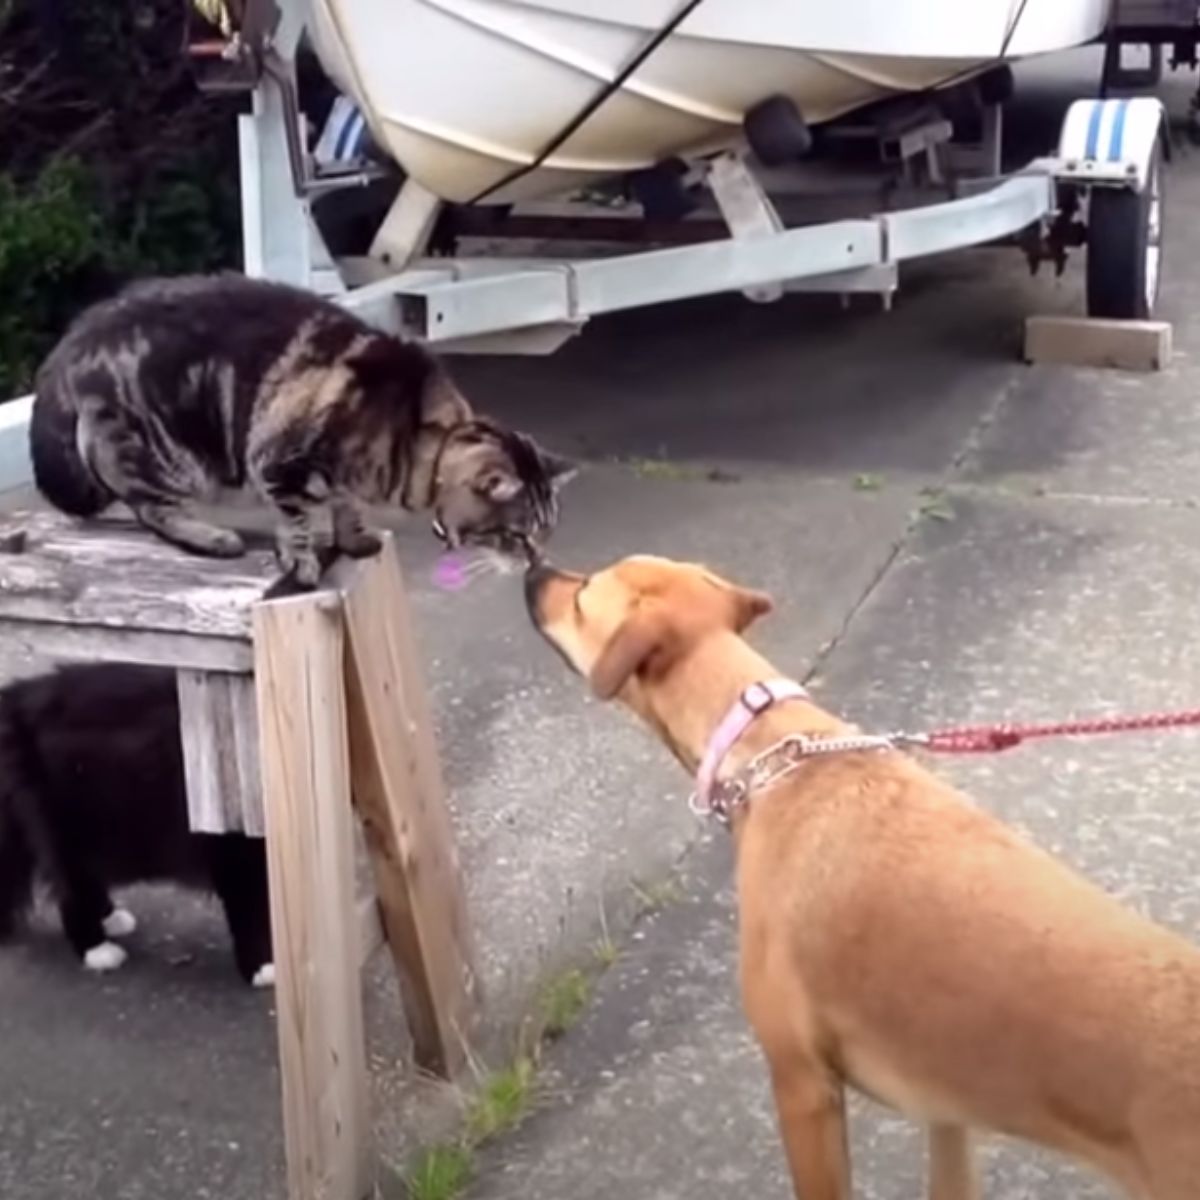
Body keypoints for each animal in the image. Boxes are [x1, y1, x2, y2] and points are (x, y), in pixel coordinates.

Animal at [28, 272, 571, 590]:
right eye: (518, 535)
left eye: (544, 532)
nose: (536, 562)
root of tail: (67, 349)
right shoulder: (277, 460)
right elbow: (297, 521)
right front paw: (302, 563)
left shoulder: (343, 479)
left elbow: (344, 508)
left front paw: (353, 539)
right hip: (160, 452)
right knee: (150, 508)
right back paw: (212, 537)